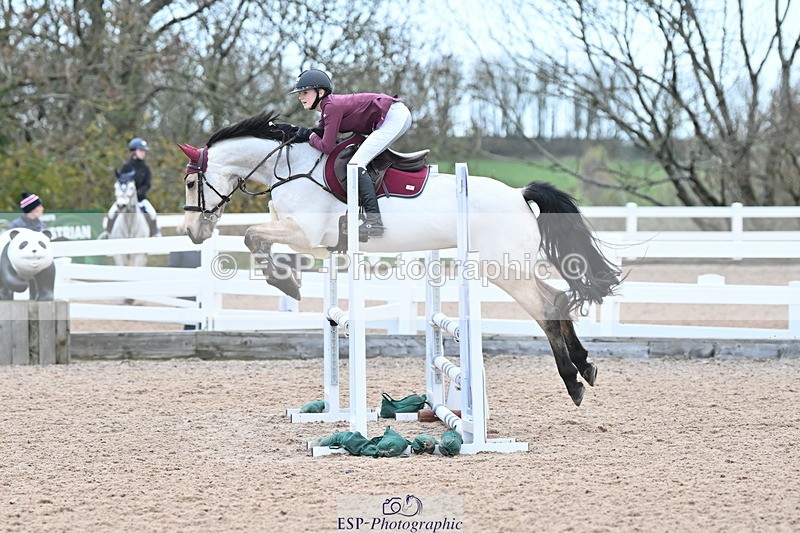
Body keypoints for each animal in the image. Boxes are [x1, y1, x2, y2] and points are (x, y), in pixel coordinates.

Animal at [178, 111, 622, 406]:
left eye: (190, 183)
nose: (193, 232)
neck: (292, 168)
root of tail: (518, 193)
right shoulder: (310, 241)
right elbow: (258, 239)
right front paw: (286, 280)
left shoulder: (307, 235)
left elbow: (252, 236)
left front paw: (284, 282)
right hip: (515, 267)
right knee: (559, 298)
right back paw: (585, 366)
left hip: (506, 269)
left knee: (546, 308)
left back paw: (573, 382)